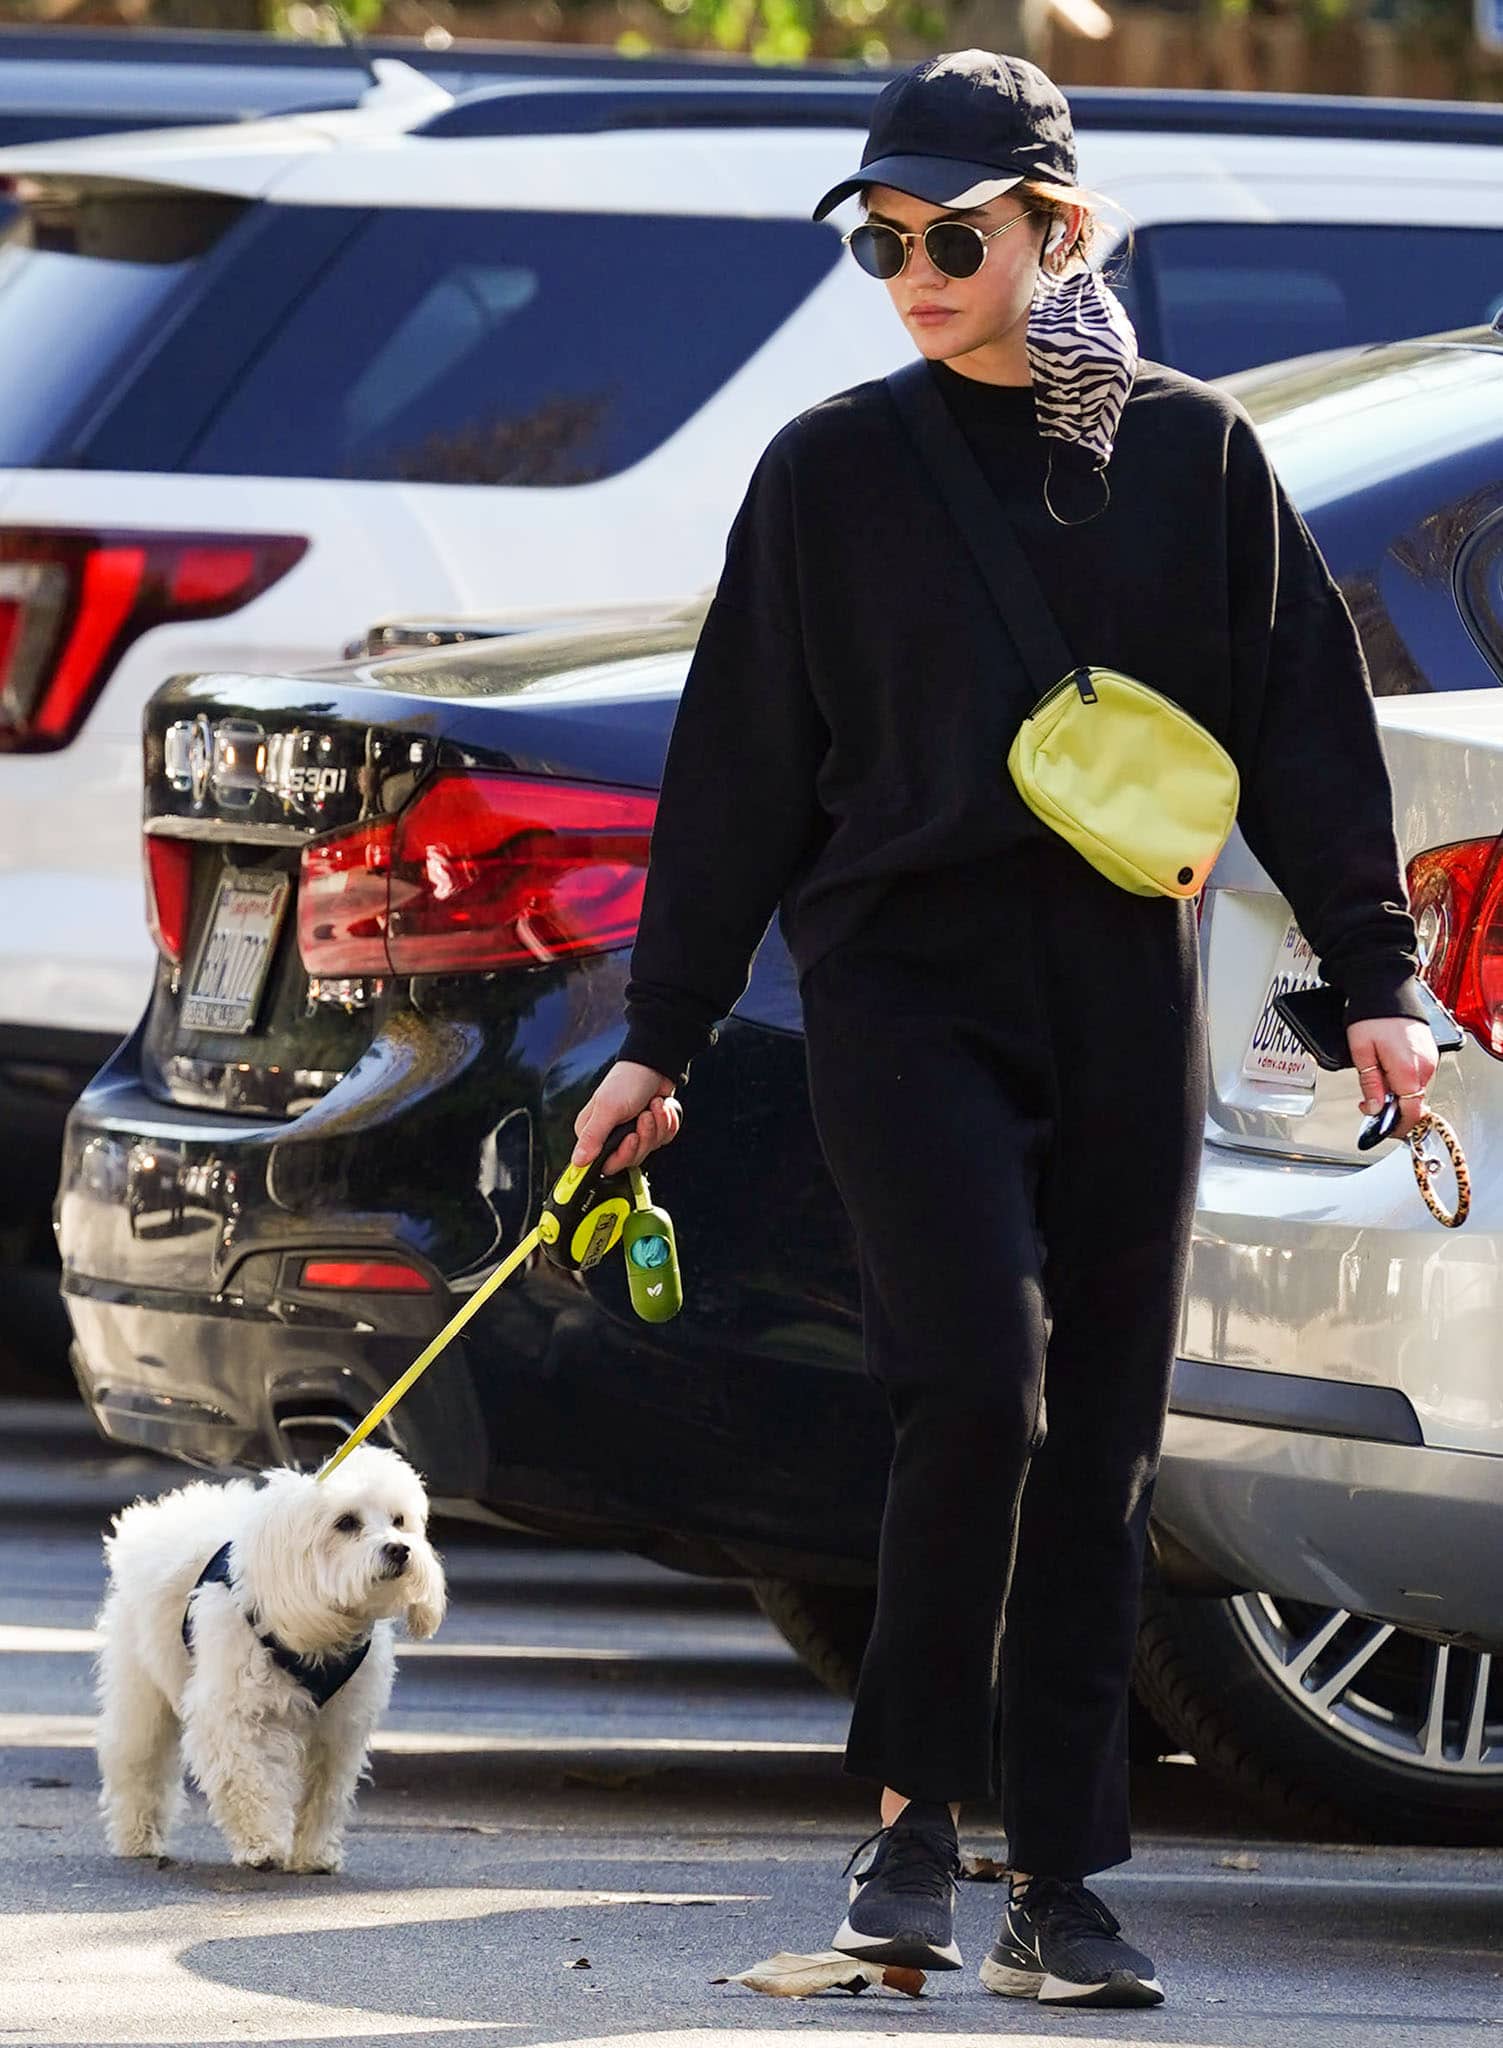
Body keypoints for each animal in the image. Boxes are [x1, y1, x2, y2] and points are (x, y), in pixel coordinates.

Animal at [92, 1441, 444, 1875]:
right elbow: (246, 1776)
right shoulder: (232, 1714)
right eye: (346, 1523)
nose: (399, 1548)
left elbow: (324, 1789)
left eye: (399, 1520)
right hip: (141, 1690)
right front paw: (260, 1842)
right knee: (138, 1758)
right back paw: (137, 1837)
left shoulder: (338, 1726)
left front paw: (313, 1853)